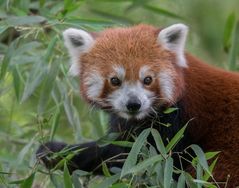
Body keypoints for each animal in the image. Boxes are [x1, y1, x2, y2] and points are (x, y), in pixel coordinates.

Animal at [36, 23, 239, 187]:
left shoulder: (176, 125)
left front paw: (60, 151)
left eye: (147, 79)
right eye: (115, 80)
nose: (134, 104)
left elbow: (128, 159)